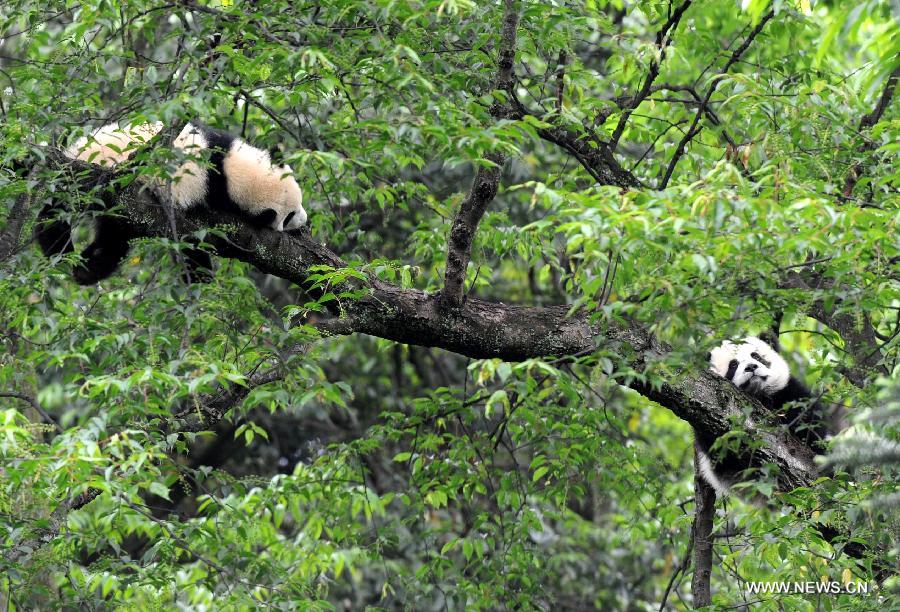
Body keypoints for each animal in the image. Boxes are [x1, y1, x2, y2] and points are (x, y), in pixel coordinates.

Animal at [33, 120, 308, 286]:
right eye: (288, 216)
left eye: (299, 204)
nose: (305, 220)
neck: (227, 170)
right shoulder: (199, 193)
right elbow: (191, 234)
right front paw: (200, 275)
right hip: (102, 187)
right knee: (58, 213)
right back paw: (59, 251)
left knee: (112, 240)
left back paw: (86, 267)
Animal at [696, 334, 828, 498]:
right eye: (733, 365)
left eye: (756, 356)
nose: (751, 367)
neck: (757, 393)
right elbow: (723, 456)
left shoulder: (788, 392)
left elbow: (809, 423)